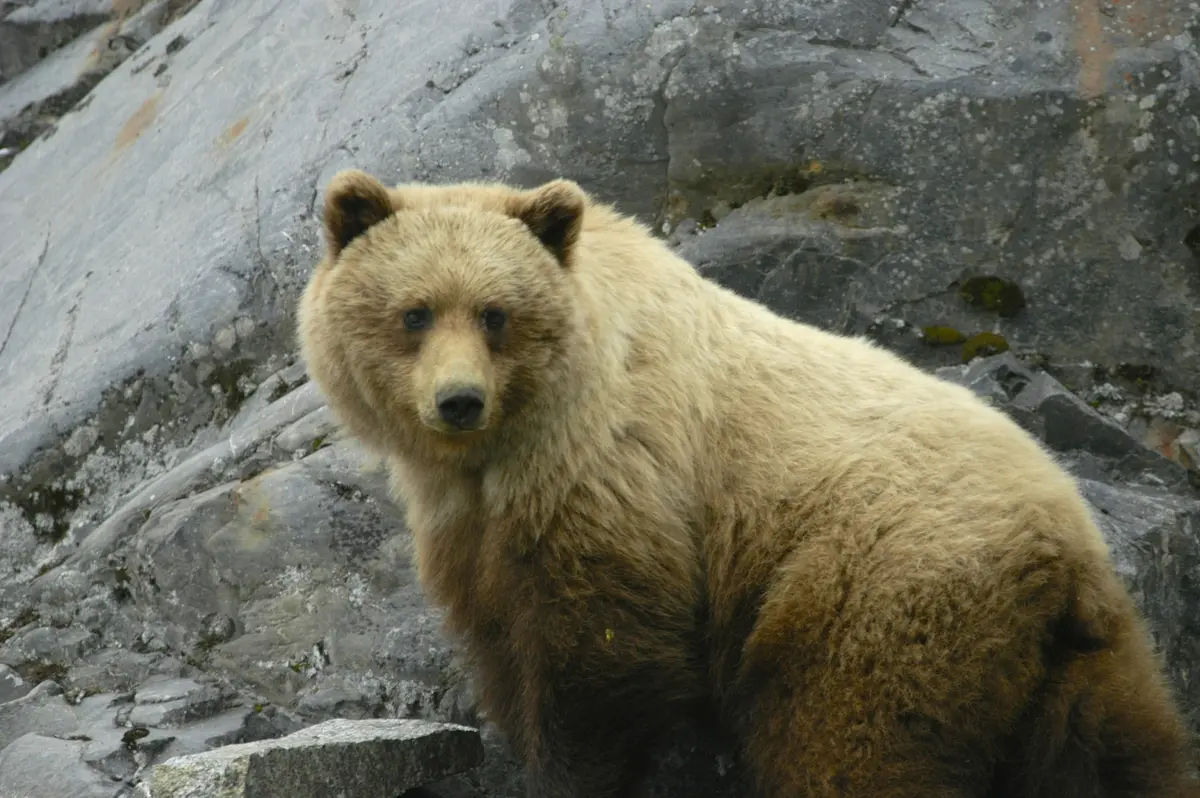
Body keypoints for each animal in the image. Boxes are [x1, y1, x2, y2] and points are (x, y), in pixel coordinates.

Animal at [297, 169, 1200, 796]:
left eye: (495, 313)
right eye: (414, 312)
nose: (458, 400)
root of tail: (1064, 553)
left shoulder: (615, 479)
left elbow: (595, 662)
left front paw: (566, 771)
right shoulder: (474, 526)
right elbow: (500, 638)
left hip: (874, 594)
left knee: (851, 745)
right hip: (1083, 666)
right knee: (1123, 757)